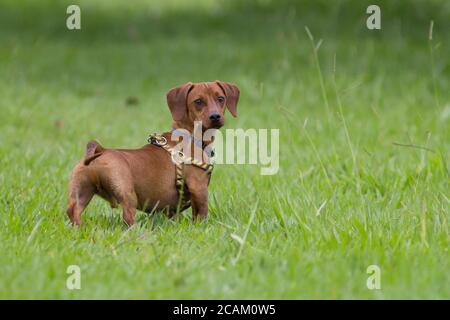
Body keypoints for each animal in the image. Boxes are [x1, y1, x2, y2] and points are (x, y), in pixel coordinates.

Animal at [66, 80, 239, 225]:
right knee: (128, 216)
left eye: (221, 98)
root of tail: (100, 151)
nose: (215, 116)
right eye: (198, 101)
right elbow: (202, 214)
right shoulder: (199, 188)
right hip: (128, 194)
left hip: (81, 192)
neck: (189, 136)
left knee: (73, 211)